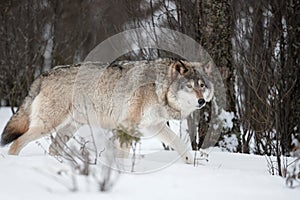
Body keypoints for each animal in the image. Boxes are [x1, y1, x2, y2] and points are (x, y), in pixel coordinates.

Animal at [1, 58, 214, 164]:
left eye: (202, 86)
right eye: (189, 87)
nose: (202, 101)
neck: (157, 87)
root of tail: (44, 74)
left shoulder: (155, 126)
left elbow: (179, 143)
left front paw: (190, 161)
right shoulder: (128, 125)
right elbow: (124, 153)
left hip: (68, 128)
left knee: (53, 149)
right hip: (46, 126)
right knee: (16, 144)